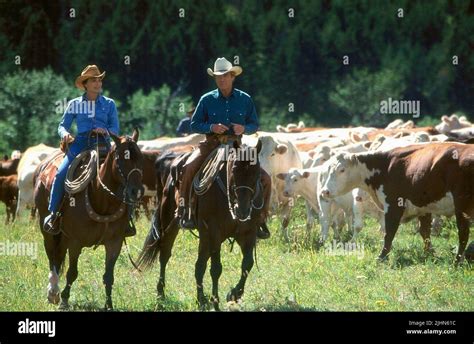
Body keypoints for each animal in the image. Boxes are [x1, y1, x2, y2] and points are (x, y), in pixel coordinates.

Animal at [34, 128, 143, 310]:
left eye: (140, 156)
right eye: (121, 158)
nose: (136, 191)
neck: (102, 200)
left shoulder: (115, 242)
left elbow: (108, 276)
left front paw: (109, 305)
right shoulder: (75, 242)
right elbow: (72, 273)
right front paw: (64, 300)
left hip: (63, 236)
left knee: (58, 254)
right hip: (48, 231)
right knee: (52, 257)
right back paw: (53, 292)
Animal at [318, 142, 474, 264]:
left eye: (342, 170)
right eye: (328, 170)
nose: (325, 191)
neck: (384, 166)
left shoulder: (393, 205)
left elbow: (389, 232)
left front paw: (382, 256)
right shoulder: (422, 207)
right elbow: (424, 232)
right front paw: (429, 254)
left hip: (462, 206)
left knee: (463, 233)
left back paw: (457, 261)